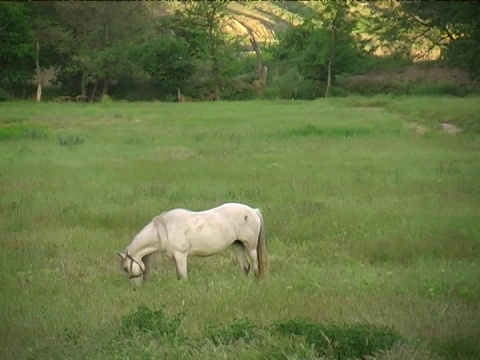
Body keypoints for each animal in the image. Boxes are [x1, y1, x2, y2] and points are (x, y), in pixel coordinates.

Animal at [116, 204, 266, 286]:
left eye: (125, 268)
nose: (134, 287)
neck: (164, 229)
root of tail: (254, 211)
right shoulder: (176, 257)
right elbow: (179, 276)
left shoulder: (181, 255)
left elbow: (183, 277)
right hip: (237, 245)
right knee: (245, 267)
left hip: (251, 247)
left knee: (255, 267)